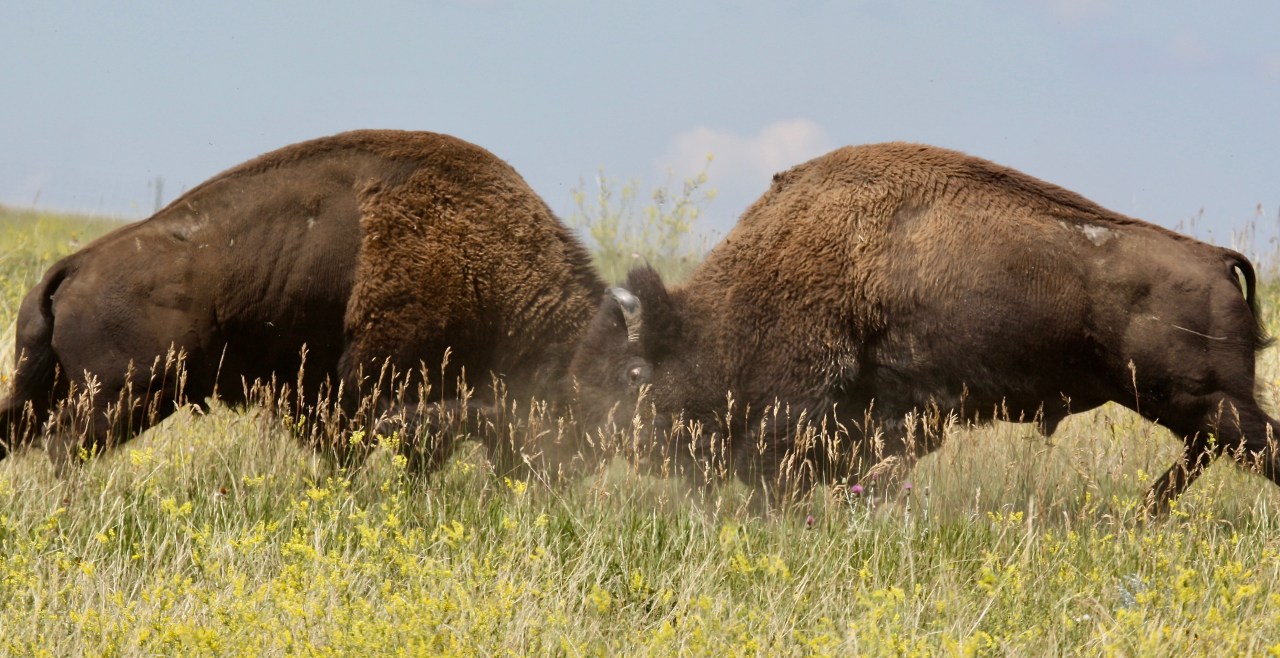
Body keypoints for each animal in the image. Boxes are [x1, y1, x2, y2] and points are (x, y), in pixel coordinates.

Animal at [571, 142, 1280, 513]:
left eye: (635, 372)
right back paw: (1138, 516)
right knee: (1211, 453)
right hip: (1196, 407)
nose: (604, 438)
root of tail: (1216, 258)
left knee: (1250, 447)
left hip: (1200, 401)